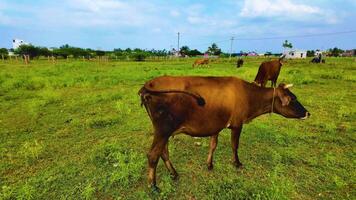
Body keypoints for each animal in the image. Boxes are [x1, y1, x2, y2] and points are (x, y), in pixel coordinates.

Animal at [138, 75, 310, 191]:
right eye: (293, 99)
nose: (308, 113)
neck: (248, 95)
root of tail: (148, 84)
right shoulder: (237, 124)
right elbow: (234, 145)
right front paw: (237, 163)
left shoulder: (216, 125)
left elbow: (213, 145)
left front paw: (209, 164)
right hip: (163, 130)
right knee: (153, 155)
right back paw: (153, 186)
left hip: (164, 131)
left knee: (163, 152)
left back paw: (174, 173)